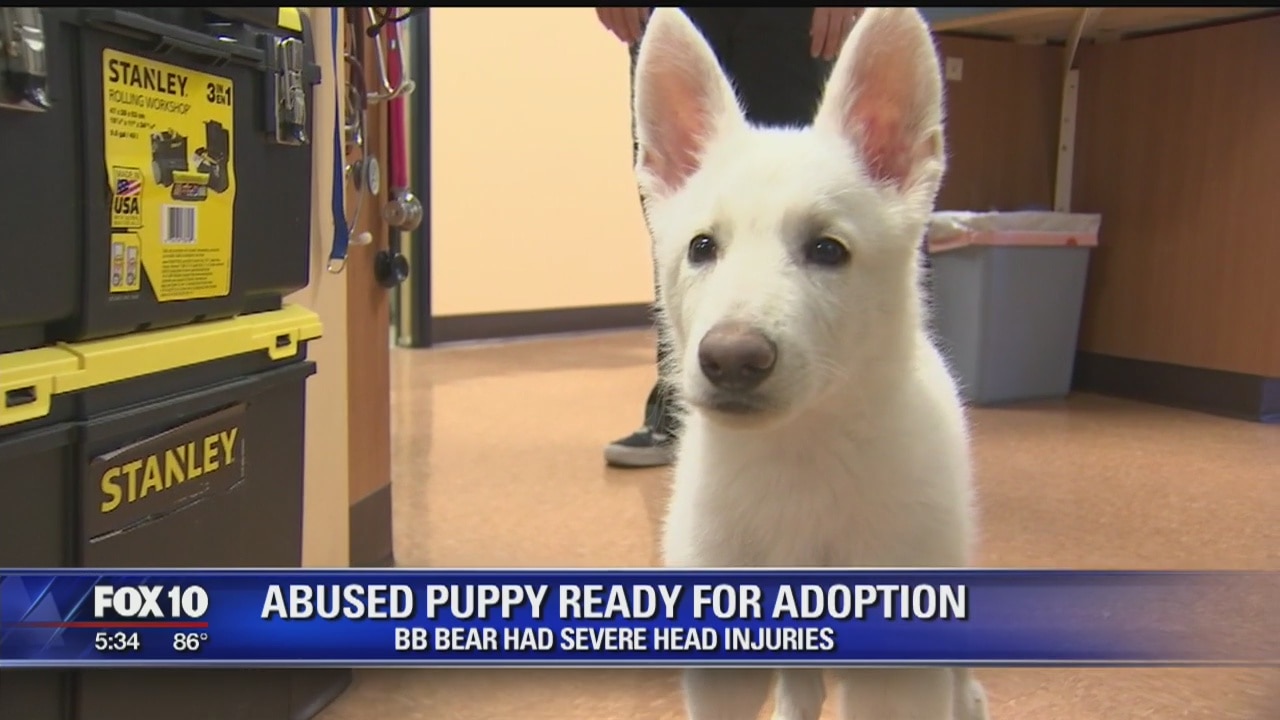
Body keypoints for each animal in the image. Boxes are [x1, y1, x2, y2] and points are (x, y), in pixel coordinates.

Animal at [632, 7, 989, 720]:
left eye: (828, 250)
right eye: (702, 247)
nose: (732, 359)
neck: (794, 457)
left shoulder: (896, 681)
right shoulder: (720, 674)